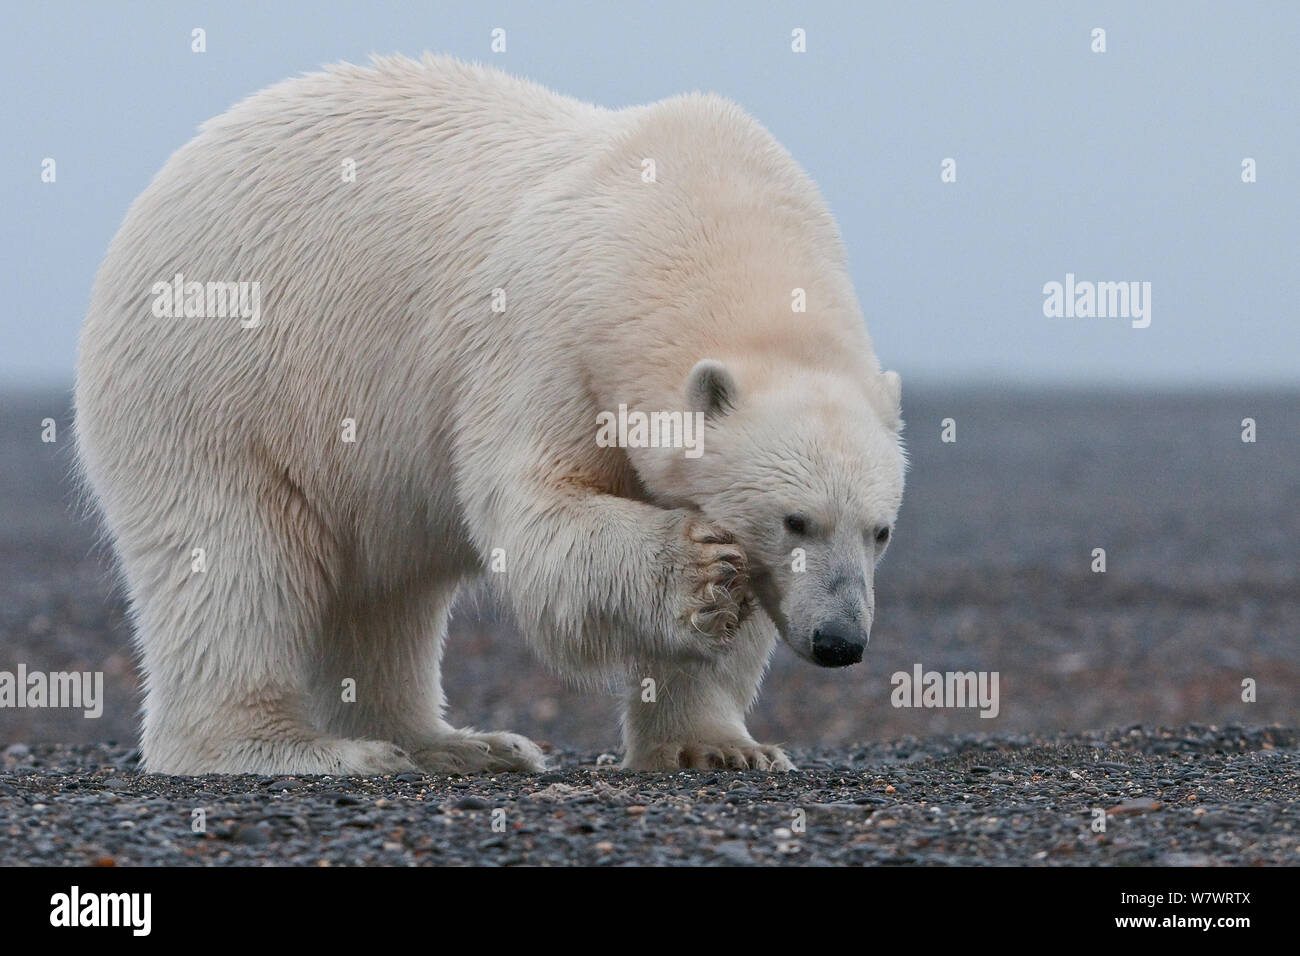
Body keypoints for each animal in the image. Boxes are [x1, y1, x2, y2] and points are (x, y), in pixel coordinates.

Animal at [74, 54, 906, 775]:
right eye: (796, 520)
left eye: (881, 531)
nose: (841, 639)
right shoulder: (549, 339)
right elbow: (537, 512)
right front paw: (702, 572)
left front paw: (721, 746)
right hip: (221, 382)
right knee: (235, 562)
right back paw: (301, 749)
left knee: (388, 597)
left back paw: (457, 744)